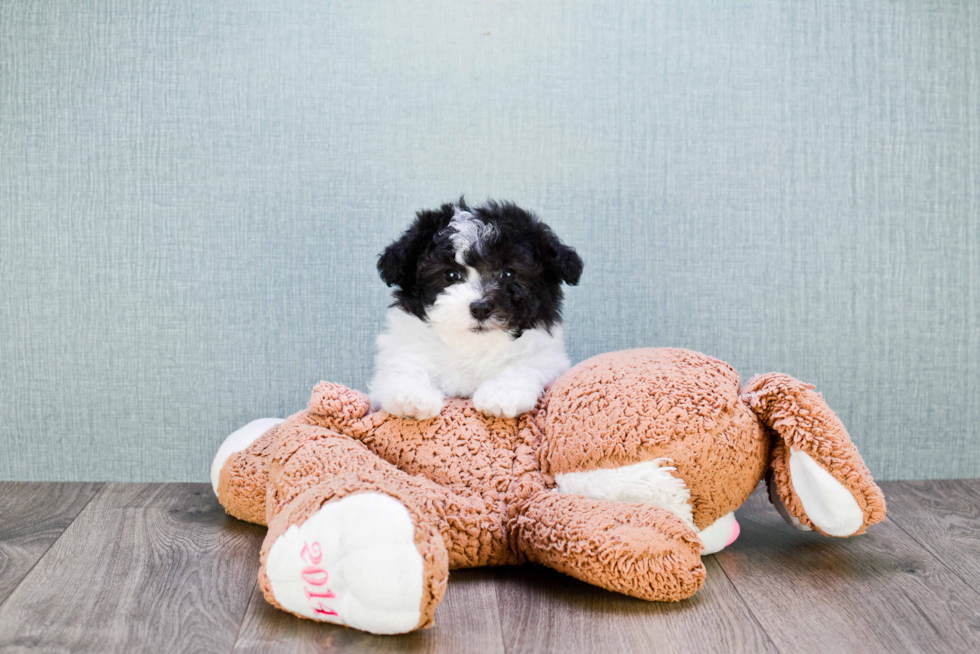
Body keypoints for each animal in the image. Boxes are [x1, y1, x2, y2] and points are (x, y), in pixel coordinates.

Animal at [368, 199, 580, 420]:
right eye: (451, 275)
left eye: (508, 273)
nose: (480, 308)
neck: (473, 348)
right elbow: (407, 363)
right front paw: (411, 396)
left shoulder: (549, 358)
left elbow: (525, 365)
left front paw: (502, 395)